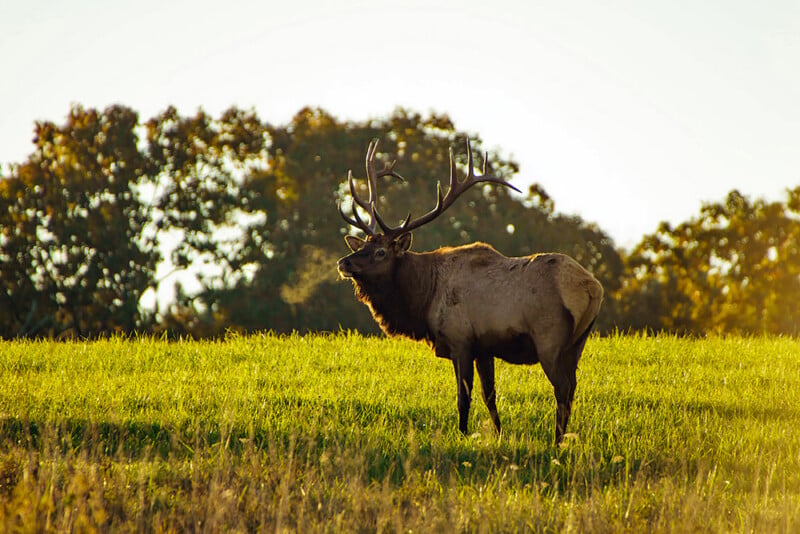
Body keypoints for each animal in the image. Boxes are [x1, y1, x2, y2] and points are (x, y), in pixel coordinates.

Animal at [336, 139, 603, 443]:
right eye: (362, 245)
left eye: (381, 252)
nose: (343, 262)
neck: (424, 299)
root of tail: (592, 288)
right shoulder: (484, 347)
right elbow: (490, 396)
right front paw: (498, 434)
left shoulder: (460, 340)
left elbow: (463, 397)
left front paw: (462, 434)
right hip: (578, 342)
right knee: (572, 386)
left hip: (550, 340)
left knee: (562, 389)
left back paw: (556, 442)